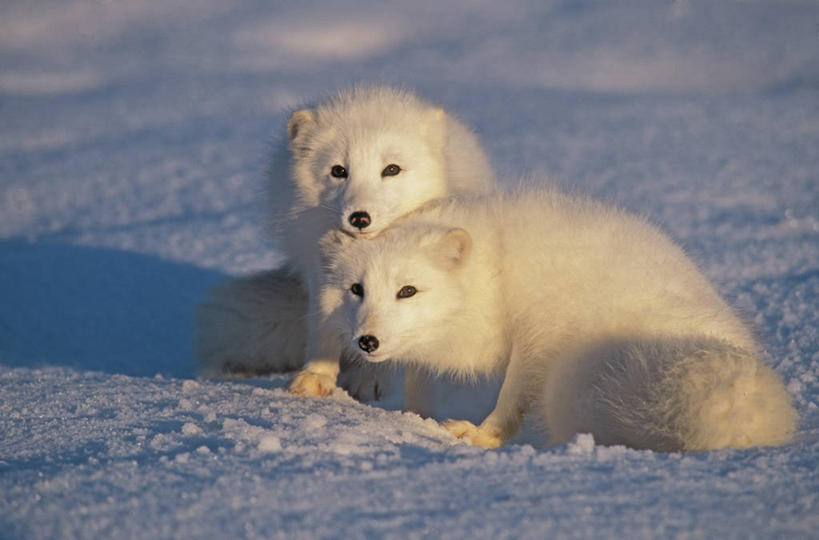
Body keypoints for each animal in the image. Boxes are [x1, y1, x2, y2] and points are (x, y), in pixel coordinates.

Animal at [195, 84, 496, 396]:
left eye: (391, 169)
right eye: (339, 171)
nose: (359, 218)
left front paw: (371, 377)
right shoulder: (320, 267)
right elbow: (323, 321)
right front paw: (316, 375)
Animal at [318, 188, 796, 450]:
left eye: (407, 291)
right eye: (357, 290)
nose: (367, 341)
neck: (494, 272)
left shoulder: (541, 336)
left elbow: (512, 396)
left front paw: (481, 436)